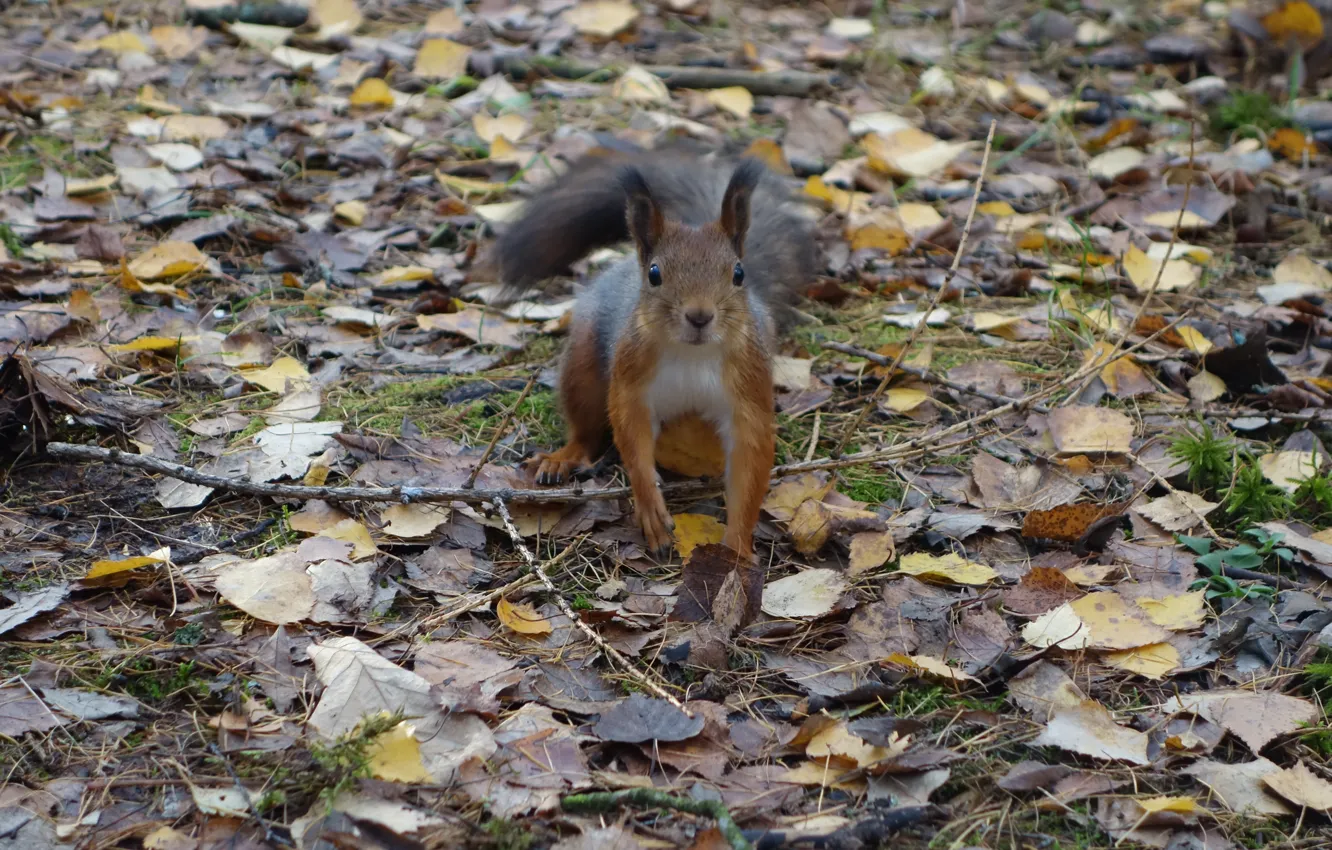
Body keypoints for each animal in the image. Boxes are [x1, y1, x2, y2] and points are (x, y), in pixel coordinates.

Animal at [494, 146, 820, 558]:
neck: (692, 355)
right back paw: (561, 459)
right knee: (586, 430)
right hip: (582, 366)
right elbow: (632, 441)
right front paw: (651, 510)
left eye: (738, 274)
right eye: (654, 274)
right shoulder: (631, 380)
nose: (699, 316)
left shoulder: (749, 389)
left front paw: (737, 545)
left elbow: (750, 465)